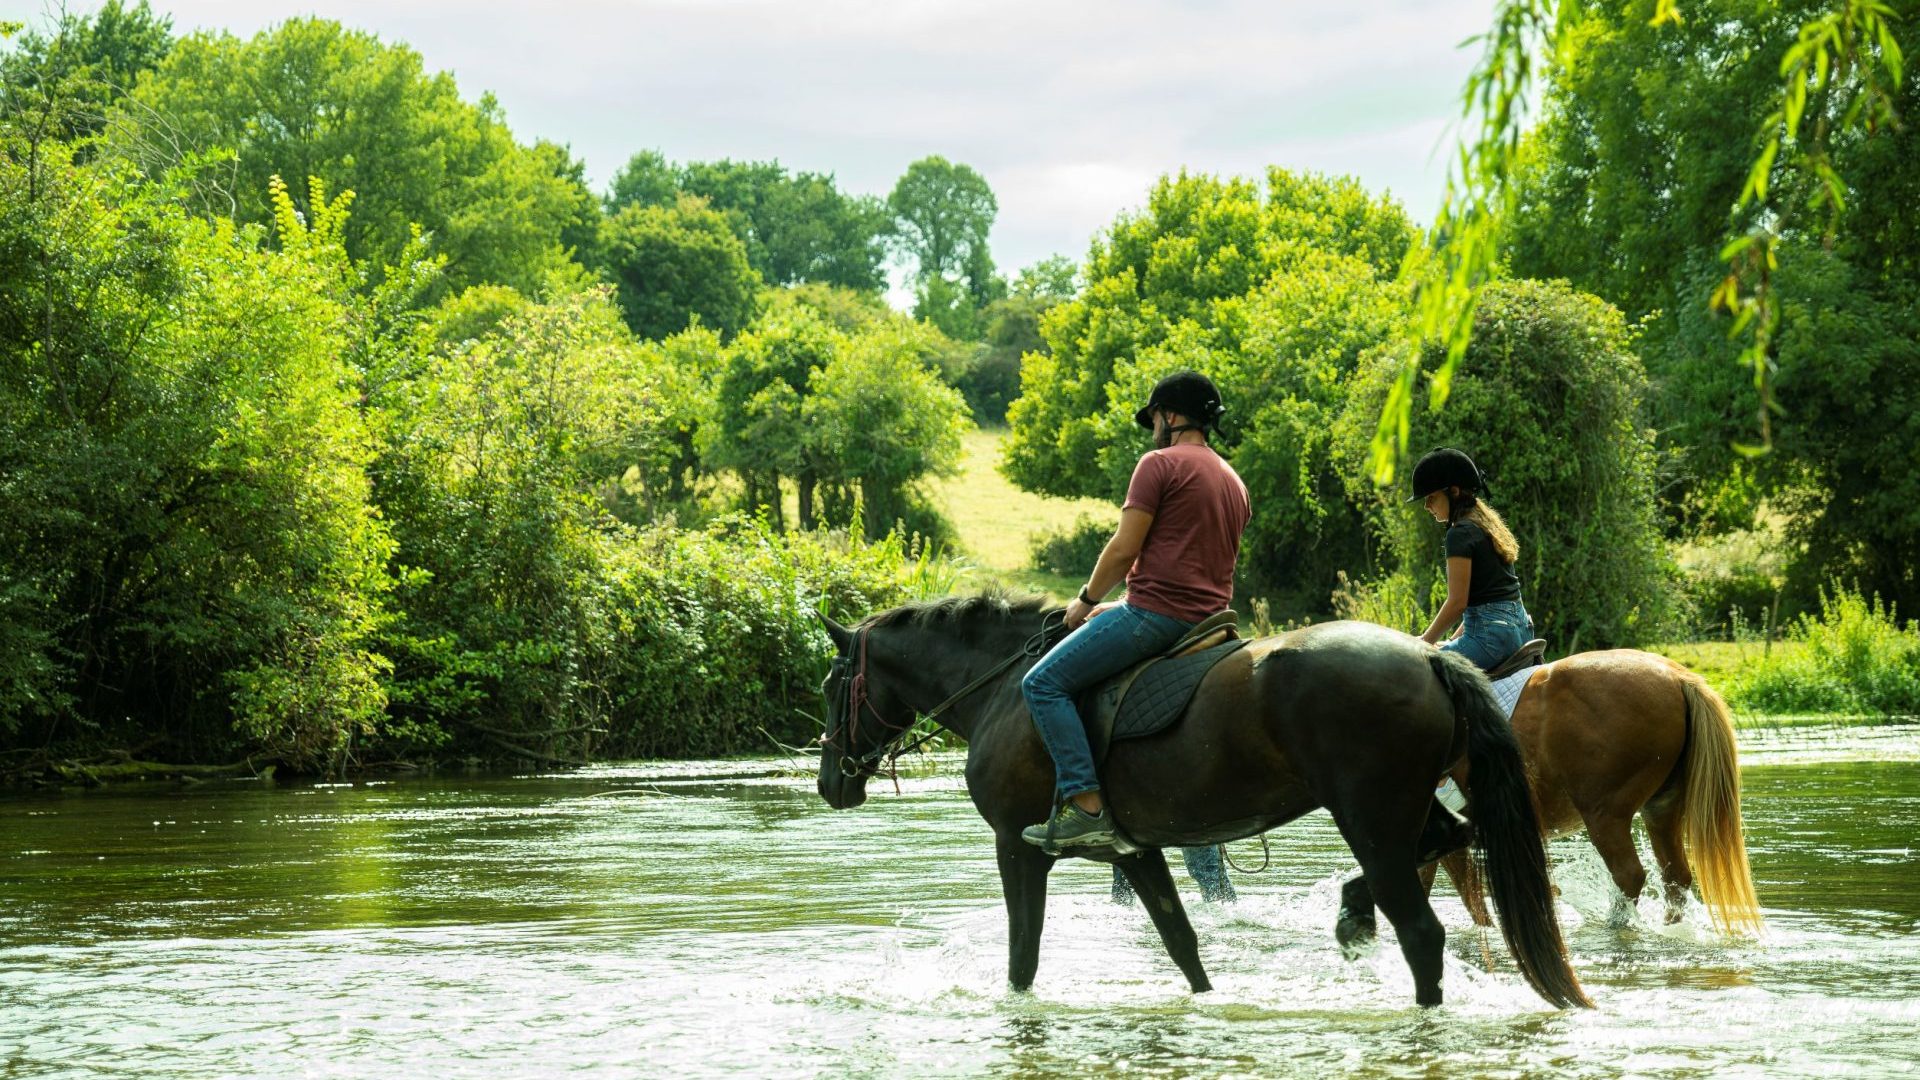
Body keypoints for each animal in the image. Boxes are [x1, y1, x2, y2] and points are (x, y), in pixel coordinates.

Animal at [814, 591, 1589, 1006]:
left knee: (1422, 934)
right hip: (1403, 813)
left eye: (830, 685)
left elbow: (1023, 955)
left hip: (1370, 816)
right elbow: (1181, 944)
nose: (829, 783)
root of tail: (1428, 656)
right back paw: (1350, 914)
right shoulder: (1136, 851)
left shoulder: (1017, 847)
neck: (1005, 688)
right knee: (1451, 838)